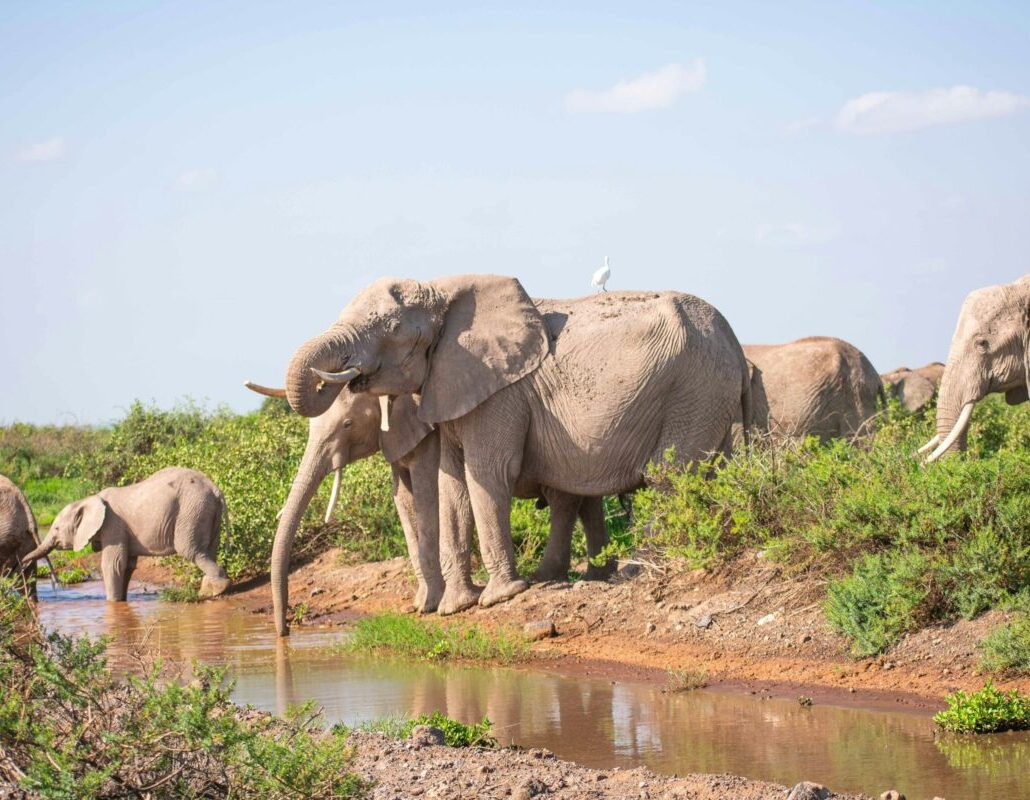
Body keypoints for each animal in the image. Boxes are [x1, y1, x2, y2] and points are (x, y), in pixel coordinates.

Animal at [22, 467, 230, 601]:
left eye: (56, 529)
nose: (21, 563)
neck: (89, 499)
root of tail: (216, 489)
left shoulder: (113, 525)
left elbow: (113, 564)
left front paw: (112, 604)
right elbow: (127, 565)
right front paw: (121, 601)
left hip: (192, 510)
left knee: (190, 550)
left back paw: (215, 590)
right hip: (205, 510)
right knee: (210, 549)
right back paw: (209, 589)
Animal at [245, 380, 612, 636]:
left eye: (347, 425)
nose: (284, 632)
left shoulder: (428, 437)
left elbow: (426, 494)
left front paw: (433, 605)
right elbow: (403, 499)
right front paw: (421, 605)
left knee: (566, 498)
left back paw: (554, 577)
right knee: (586, 497)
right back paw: (598, 576)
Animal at [283, 275, 749, 614]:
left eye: (393, 329)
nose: (341, 375)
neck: (443, 291)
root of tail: (735, 340)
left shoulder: (500, 394)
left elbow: (487, 474)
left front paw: (499, 598)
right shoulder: (452, 388)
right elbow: (453, 484)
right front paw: (456, 608)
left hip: (695, 388)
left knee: (668, 476)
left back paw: (633, 573)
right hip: (710, 395)